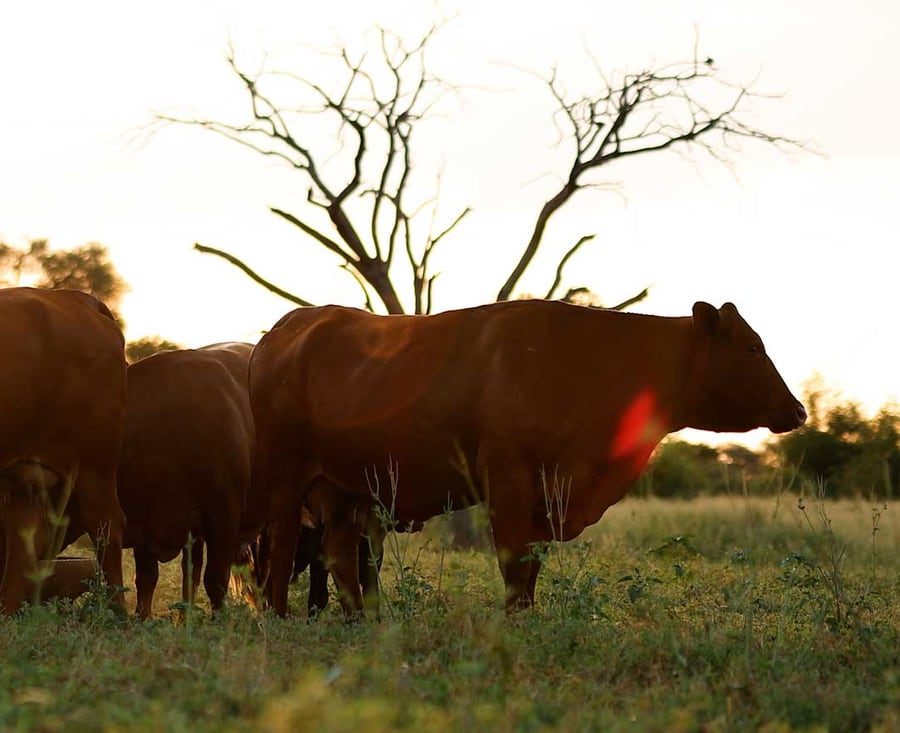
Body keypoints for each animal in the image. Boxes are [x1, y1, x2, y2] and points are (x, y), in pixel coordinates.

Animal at [0, 287, 127, 615]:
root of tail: (77, 299)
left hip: (94, 466)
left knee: (107, 529)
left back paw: (118, 613)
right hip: (24, 473)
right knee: (25, 540)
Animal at [249, 299, 807, 617]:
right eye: (752, 347)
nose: (799, 410)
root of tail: (283, 329)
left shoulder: (548, 497)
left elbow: (532, 565)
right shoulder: (510, 480)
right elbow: (514, 563)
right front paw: (515, 620)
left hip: (347, 488)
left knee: (340, 552)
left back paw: (363, 620)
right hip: (285, 477)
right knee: (282, 549)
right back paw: (277, 617)